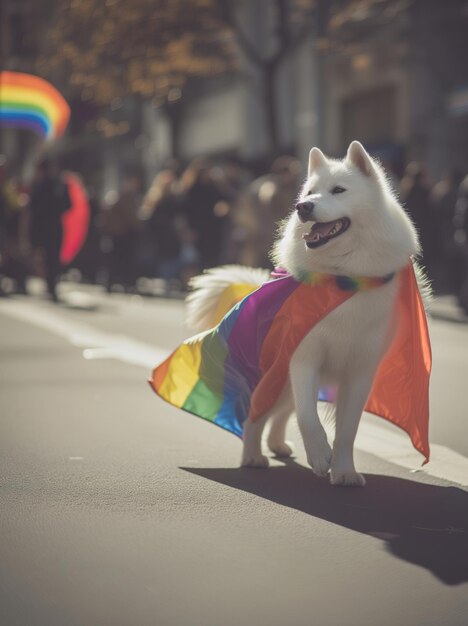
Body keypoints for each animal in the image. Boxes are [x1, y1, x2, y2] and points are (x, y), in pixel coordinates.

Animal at [186, 140, 424, 482]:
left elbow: (346, 430)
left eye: (338, 190)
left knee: (280, 413)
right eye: (310, 192)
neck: (342, 278)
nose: (302, 207)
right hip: (274, 377)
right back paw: (253, 456)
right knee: (257, 416)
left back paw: (276, 445)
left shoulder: (359, 372)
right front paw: (320, 455)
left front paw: (344, 471)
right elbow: (307, 417)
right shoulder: (303, 358)